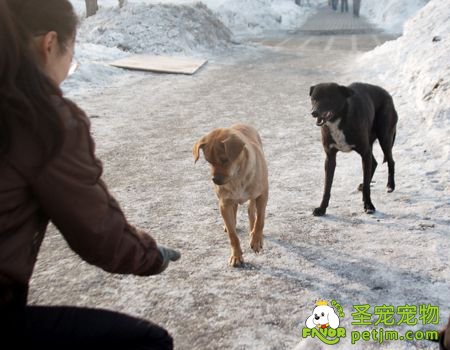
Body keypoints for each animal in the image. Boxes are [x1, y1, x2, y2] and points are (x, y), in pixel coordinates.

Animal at [192, 124, 268, 266]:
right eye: (208, 161)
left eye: (225, 160)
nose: (215, 180)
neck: (237, 177)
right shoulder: (224, 203)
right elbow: (233, 235)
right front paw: (236, 256)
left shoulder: (263, 194)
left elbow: (260, 220)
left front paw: (256, 240)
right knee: (235, 212)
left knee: (251, 211)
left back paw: (253, 232)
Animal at [310, 82, 398, 216]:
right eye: (314, 99)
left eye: (327, 98)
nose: (314, 112)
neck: (338, 120)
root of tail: (386, 93)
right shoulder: (330, 157)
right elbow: (327, 187)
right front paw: (322, 208)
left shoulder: (365, 153)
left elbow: (367, 188)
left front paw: (368, 206)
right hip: (371, 145)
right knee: (374, 163)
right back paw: (364, 184)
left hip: (385, 138)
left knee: (391, 161)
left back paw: (390, 186)